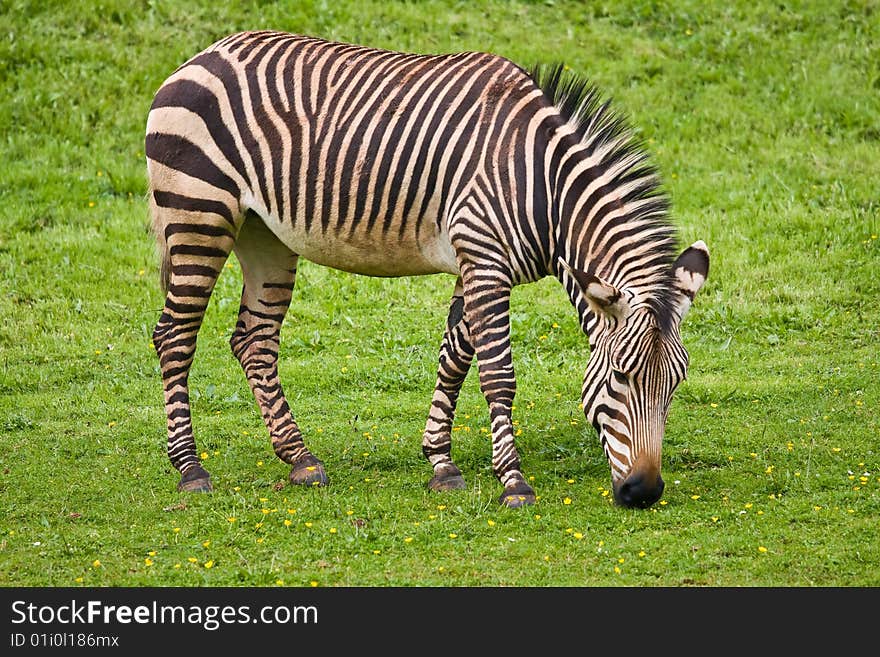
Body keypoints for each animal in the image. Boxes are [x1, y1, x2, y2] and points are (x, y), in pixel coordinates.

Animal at [144, 30, 708, 510]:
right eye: (620, 377)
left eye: (675, 385)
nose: (645, 492)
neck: (542, 190)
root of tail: (205, 54)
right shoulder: (485, 258)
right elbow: (497, 374)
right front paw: (514, 483)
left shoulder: (473, 260)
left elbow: (455, 355)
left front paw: (441, 461)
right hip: (199, 214)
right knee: (175, 336)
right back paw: (190, 469)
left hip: (266, 234)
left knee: (254, 340)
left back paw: (300, 459)